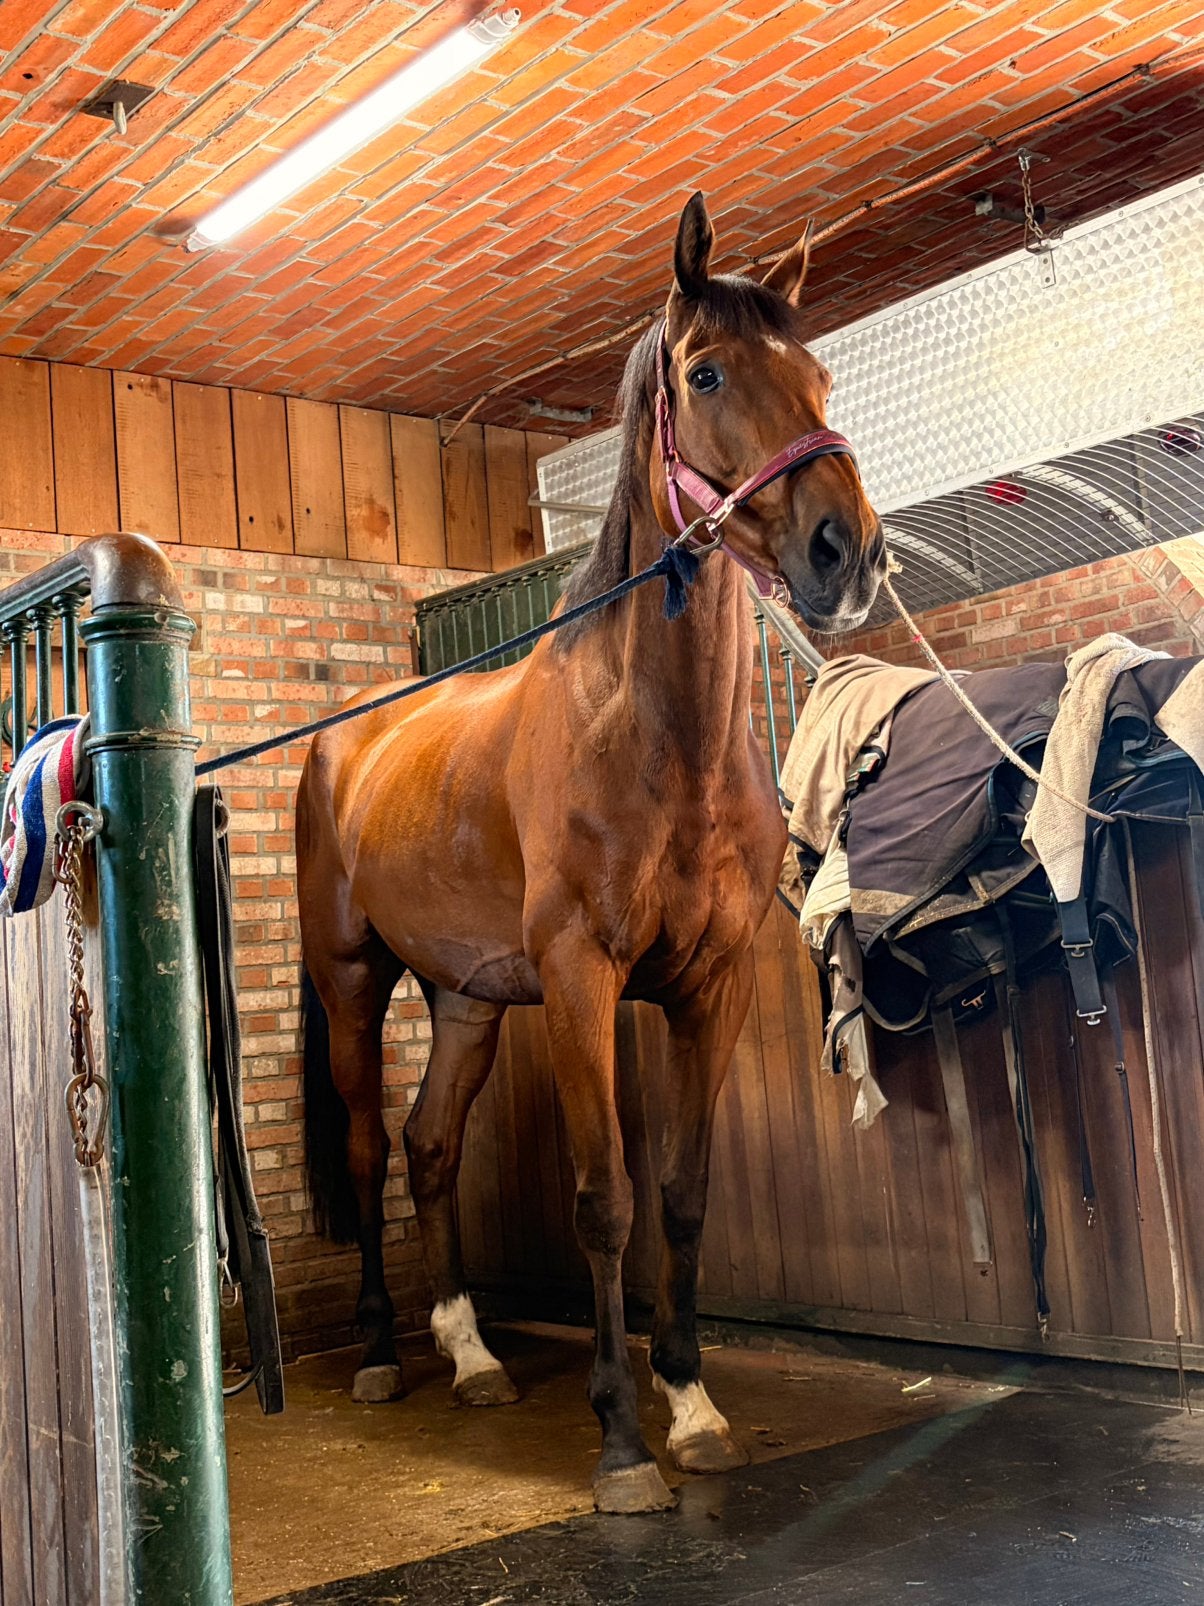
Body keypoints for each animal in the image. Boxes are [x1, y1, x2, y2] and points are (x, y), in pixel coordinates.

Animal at [297, 192, 885, 1514]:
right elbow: (604, 1199)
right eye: (705, 371)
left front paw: (695, 1404)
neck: (650, 734)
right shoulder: (581, 983)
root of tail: (346, 742)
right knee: (366, 1150)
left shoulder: (705, 988)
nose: (846, 551)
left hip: (466, 1000)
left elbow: (683, 1196)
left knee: (429, 1147)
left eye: (821, 373)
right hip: (354, 982)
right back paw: (377, 1356)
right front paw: (621, 1440)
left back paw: (470, 1358)